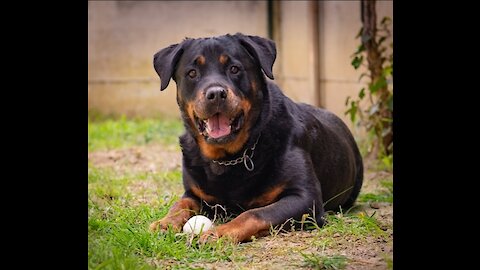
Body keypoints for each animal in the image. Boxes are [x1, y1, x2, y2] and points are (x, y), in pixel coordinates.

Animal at [148, 33, 362, 243]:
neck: (229, 158)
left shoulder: (305, 198)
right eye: (192, 73)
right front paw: (164, 223)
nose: (216, 93)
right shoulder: (193, 193)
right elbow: (180, 204)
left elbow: (254, 214)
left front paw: (219, 233)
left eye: (234, 69)